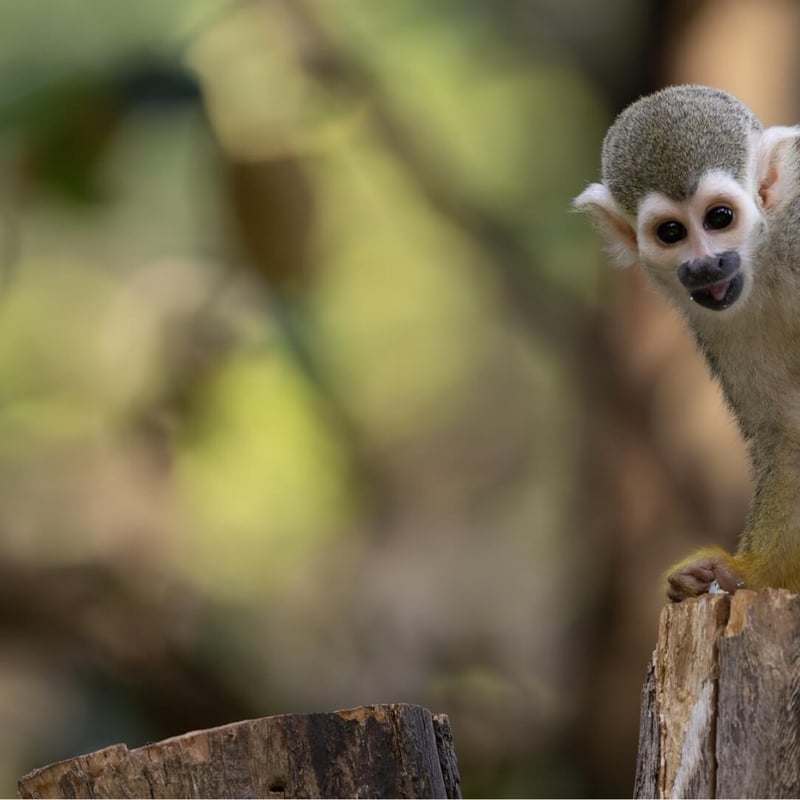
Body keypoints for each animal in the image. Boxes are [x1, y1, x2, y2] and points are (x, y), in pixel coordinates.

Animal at [573, 84, 800, 601]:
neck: (769, 260)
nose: (705, 265)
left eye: (719, 218)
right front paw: (745, 573)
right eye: (671, 232)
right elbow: (788, 430)